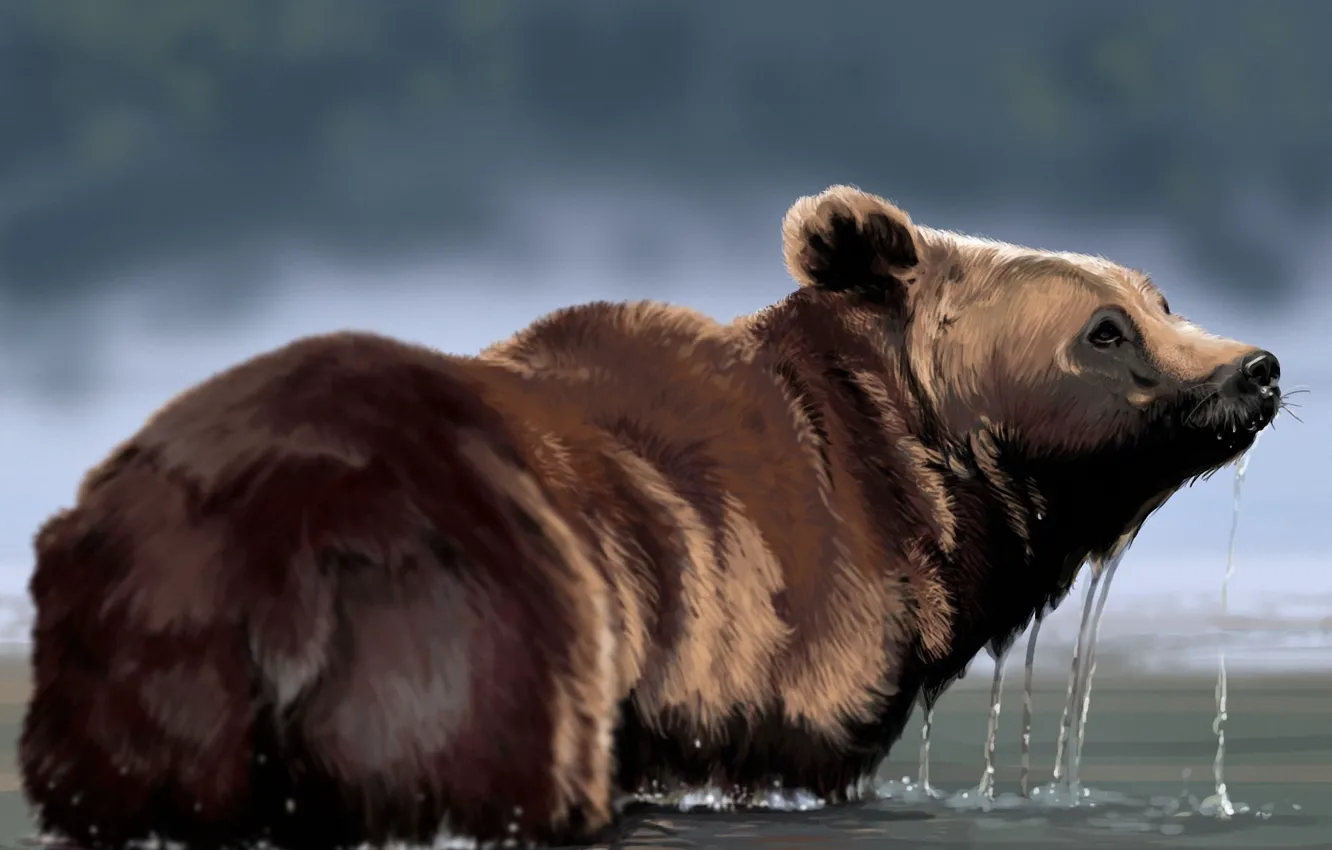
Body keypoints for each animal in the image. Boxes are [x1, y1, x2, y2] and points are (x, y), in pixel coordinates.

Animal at [19, 185, 1283, 849]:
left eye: (1161, 295)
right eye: (1104, 329)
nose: (1258, 367)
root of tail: (263, 554)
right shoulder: (760, 660)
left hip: (135, 666)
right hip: (469, 629)